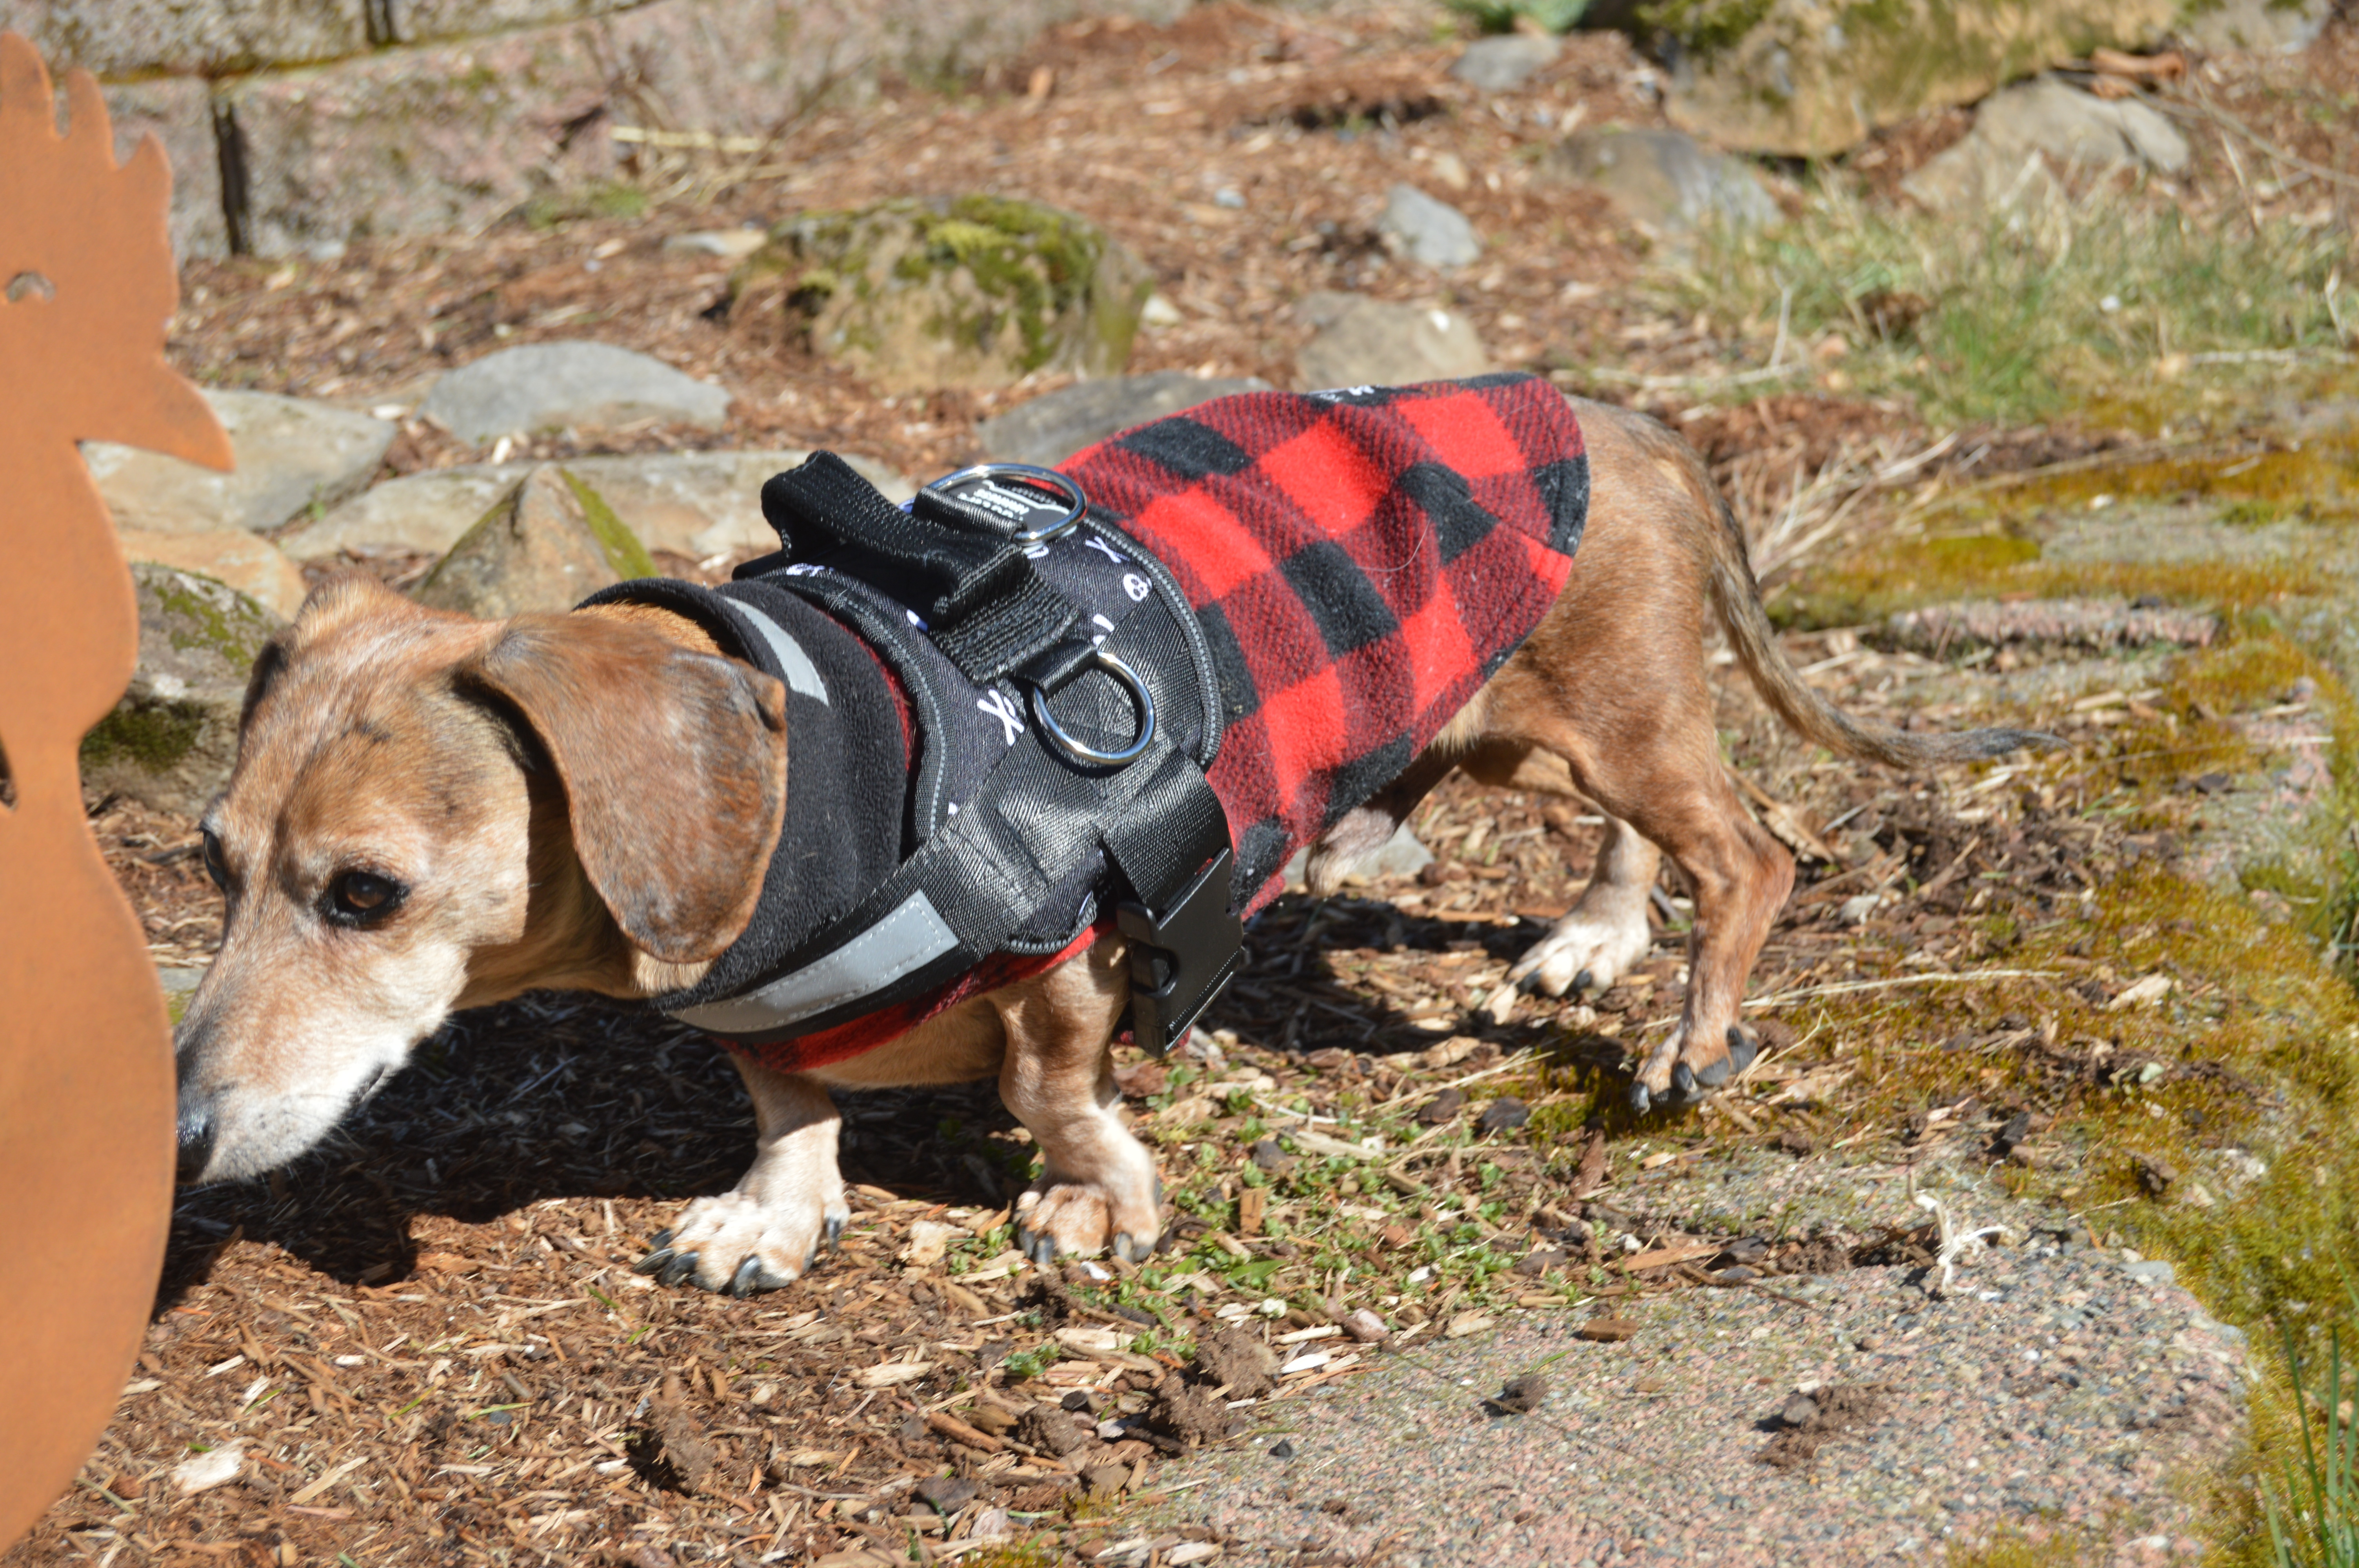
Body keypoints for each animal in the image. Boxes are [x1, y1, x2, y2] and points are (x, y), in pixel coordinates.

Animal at [171, 398, 2047, 1292]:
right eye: (210, 861)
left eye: (365, 892)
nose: (177, 1134)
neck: (828, 770)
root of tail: (1626, 419)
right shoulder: (759, 1015)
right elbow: (781, 1099)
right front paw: (768, 1216)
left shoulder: (1065, 960)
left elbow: (1047, 1090)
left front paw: (1091, 1201)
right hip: (1538, 720)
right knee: (1638, 837)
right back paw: (1595, 933)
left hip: (1625, 722)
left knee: (1751, 849)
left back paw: (1688, 1033)